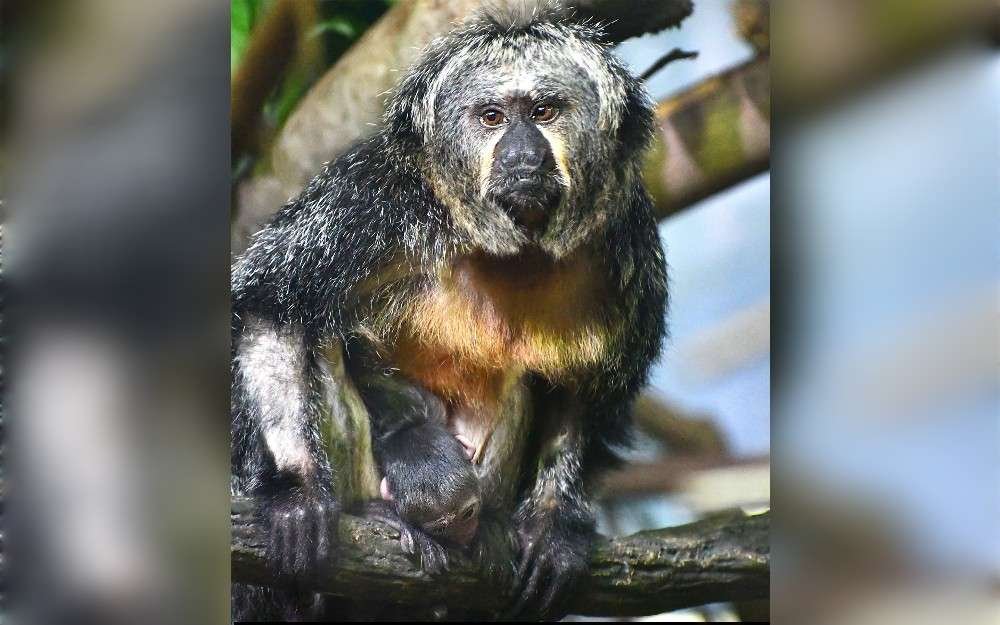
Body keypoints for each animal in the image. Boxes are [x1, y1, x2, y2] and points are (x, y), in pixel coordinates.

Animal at [231, 5, 667, 621]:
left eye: (544, 112)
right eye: (491, 118)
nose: (522, 155)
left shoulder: (628, 242)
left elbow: (585, 390)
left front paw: (554, 527)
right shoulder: (373, 199)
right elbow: (271, 305)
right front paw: (295, 493)